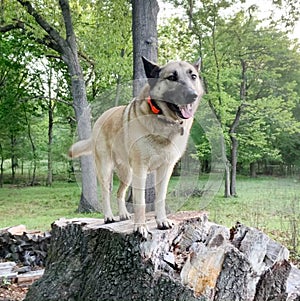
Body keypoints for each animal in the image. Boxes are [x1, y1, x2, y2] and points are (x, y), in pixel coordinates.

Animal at [68, 56, 204, 237]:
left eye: (193, 76)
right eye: (172, 77)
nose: (192, 95)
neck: (164, 120)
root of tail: (100, 119)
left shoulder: (166, 168)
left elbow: (160, 198)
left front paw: (162, 221)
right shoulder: (141, 168)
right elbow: (140, 201)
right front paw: (140, 227)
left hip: (127, 174)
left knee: (119, 192)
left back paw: (124, 214)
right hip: (106, 169)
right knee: (105, 193)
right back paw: (109, 217)